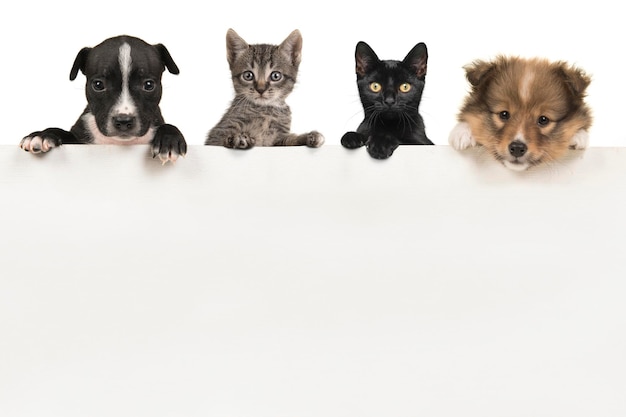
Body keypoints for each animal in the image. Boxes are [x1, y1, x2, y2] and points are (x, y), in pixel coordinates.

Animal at [20, 35, 185, 163]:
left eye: (149, 85)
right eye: (98, 85)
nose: (123, 121)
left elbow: (168, 126)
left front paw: (169, 140)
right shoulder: (79, 140)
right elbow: (63, 133)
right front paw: (42, 135)